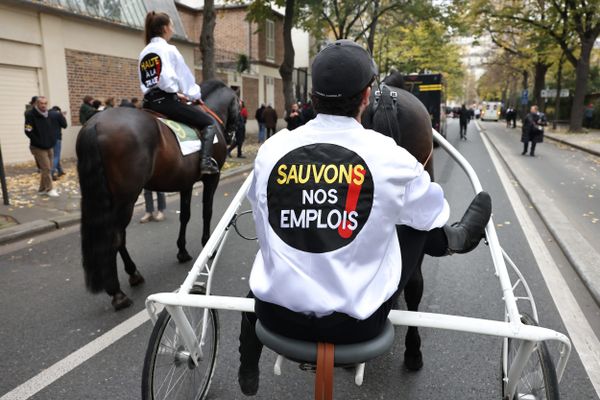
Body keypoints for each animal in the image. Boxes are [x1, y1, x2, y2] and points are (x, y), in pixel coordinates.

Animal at [76, 79, 240, 310]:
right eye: (239, 105)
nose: (233, 137)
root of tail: (95, 123)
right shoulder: (211, 179)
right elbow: (207, 210)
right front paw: (208, 245)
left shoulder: (186, 183)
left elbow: (185, 215)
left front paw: (182, 251)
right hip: (126, 199)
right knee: (116, 236)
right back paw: (118, 292)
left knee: (118, 237)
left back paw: (132, 275)